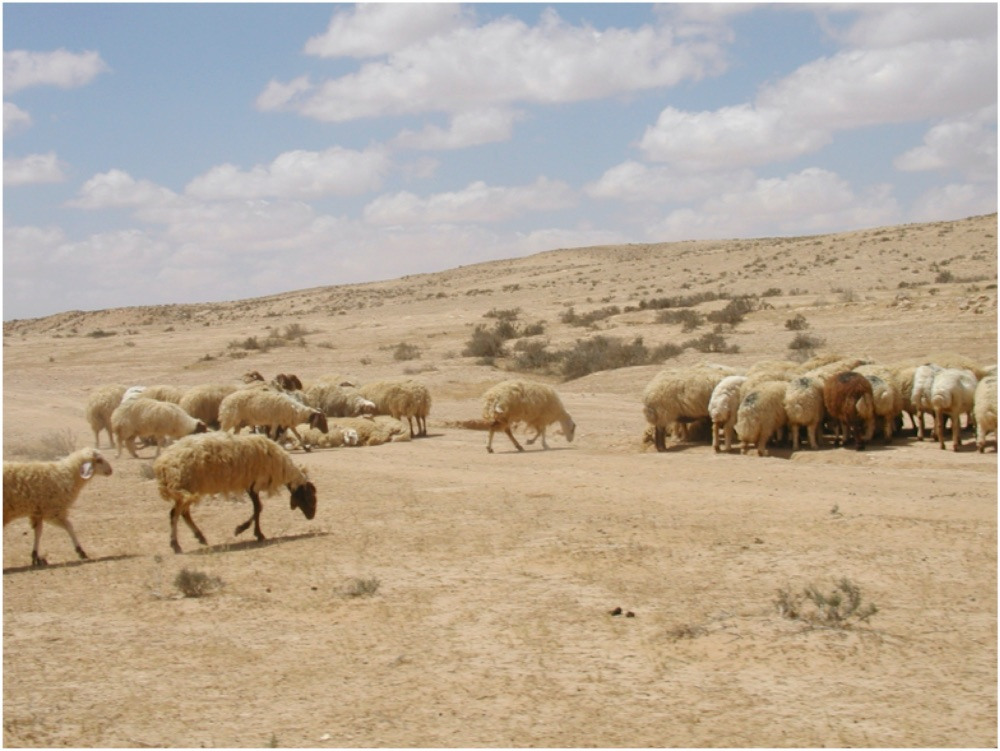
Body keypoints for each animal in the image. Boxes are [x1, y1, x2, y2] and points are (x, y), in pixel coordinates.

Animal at [153, 432, 317, 553]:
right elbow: (258, 508)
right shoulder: (254, 484)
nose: (311, 516)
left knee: (184, 513)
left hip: (188, 490)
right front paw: (250, 532)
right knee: (174, 514)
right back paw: (176, 545)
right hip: (186, 488)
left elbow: (258, 508)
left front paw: (250, 531)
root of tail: (163, 464)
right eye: (310, 498)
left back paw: (200, 537)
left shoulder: (251, 484)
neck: (281, 466)